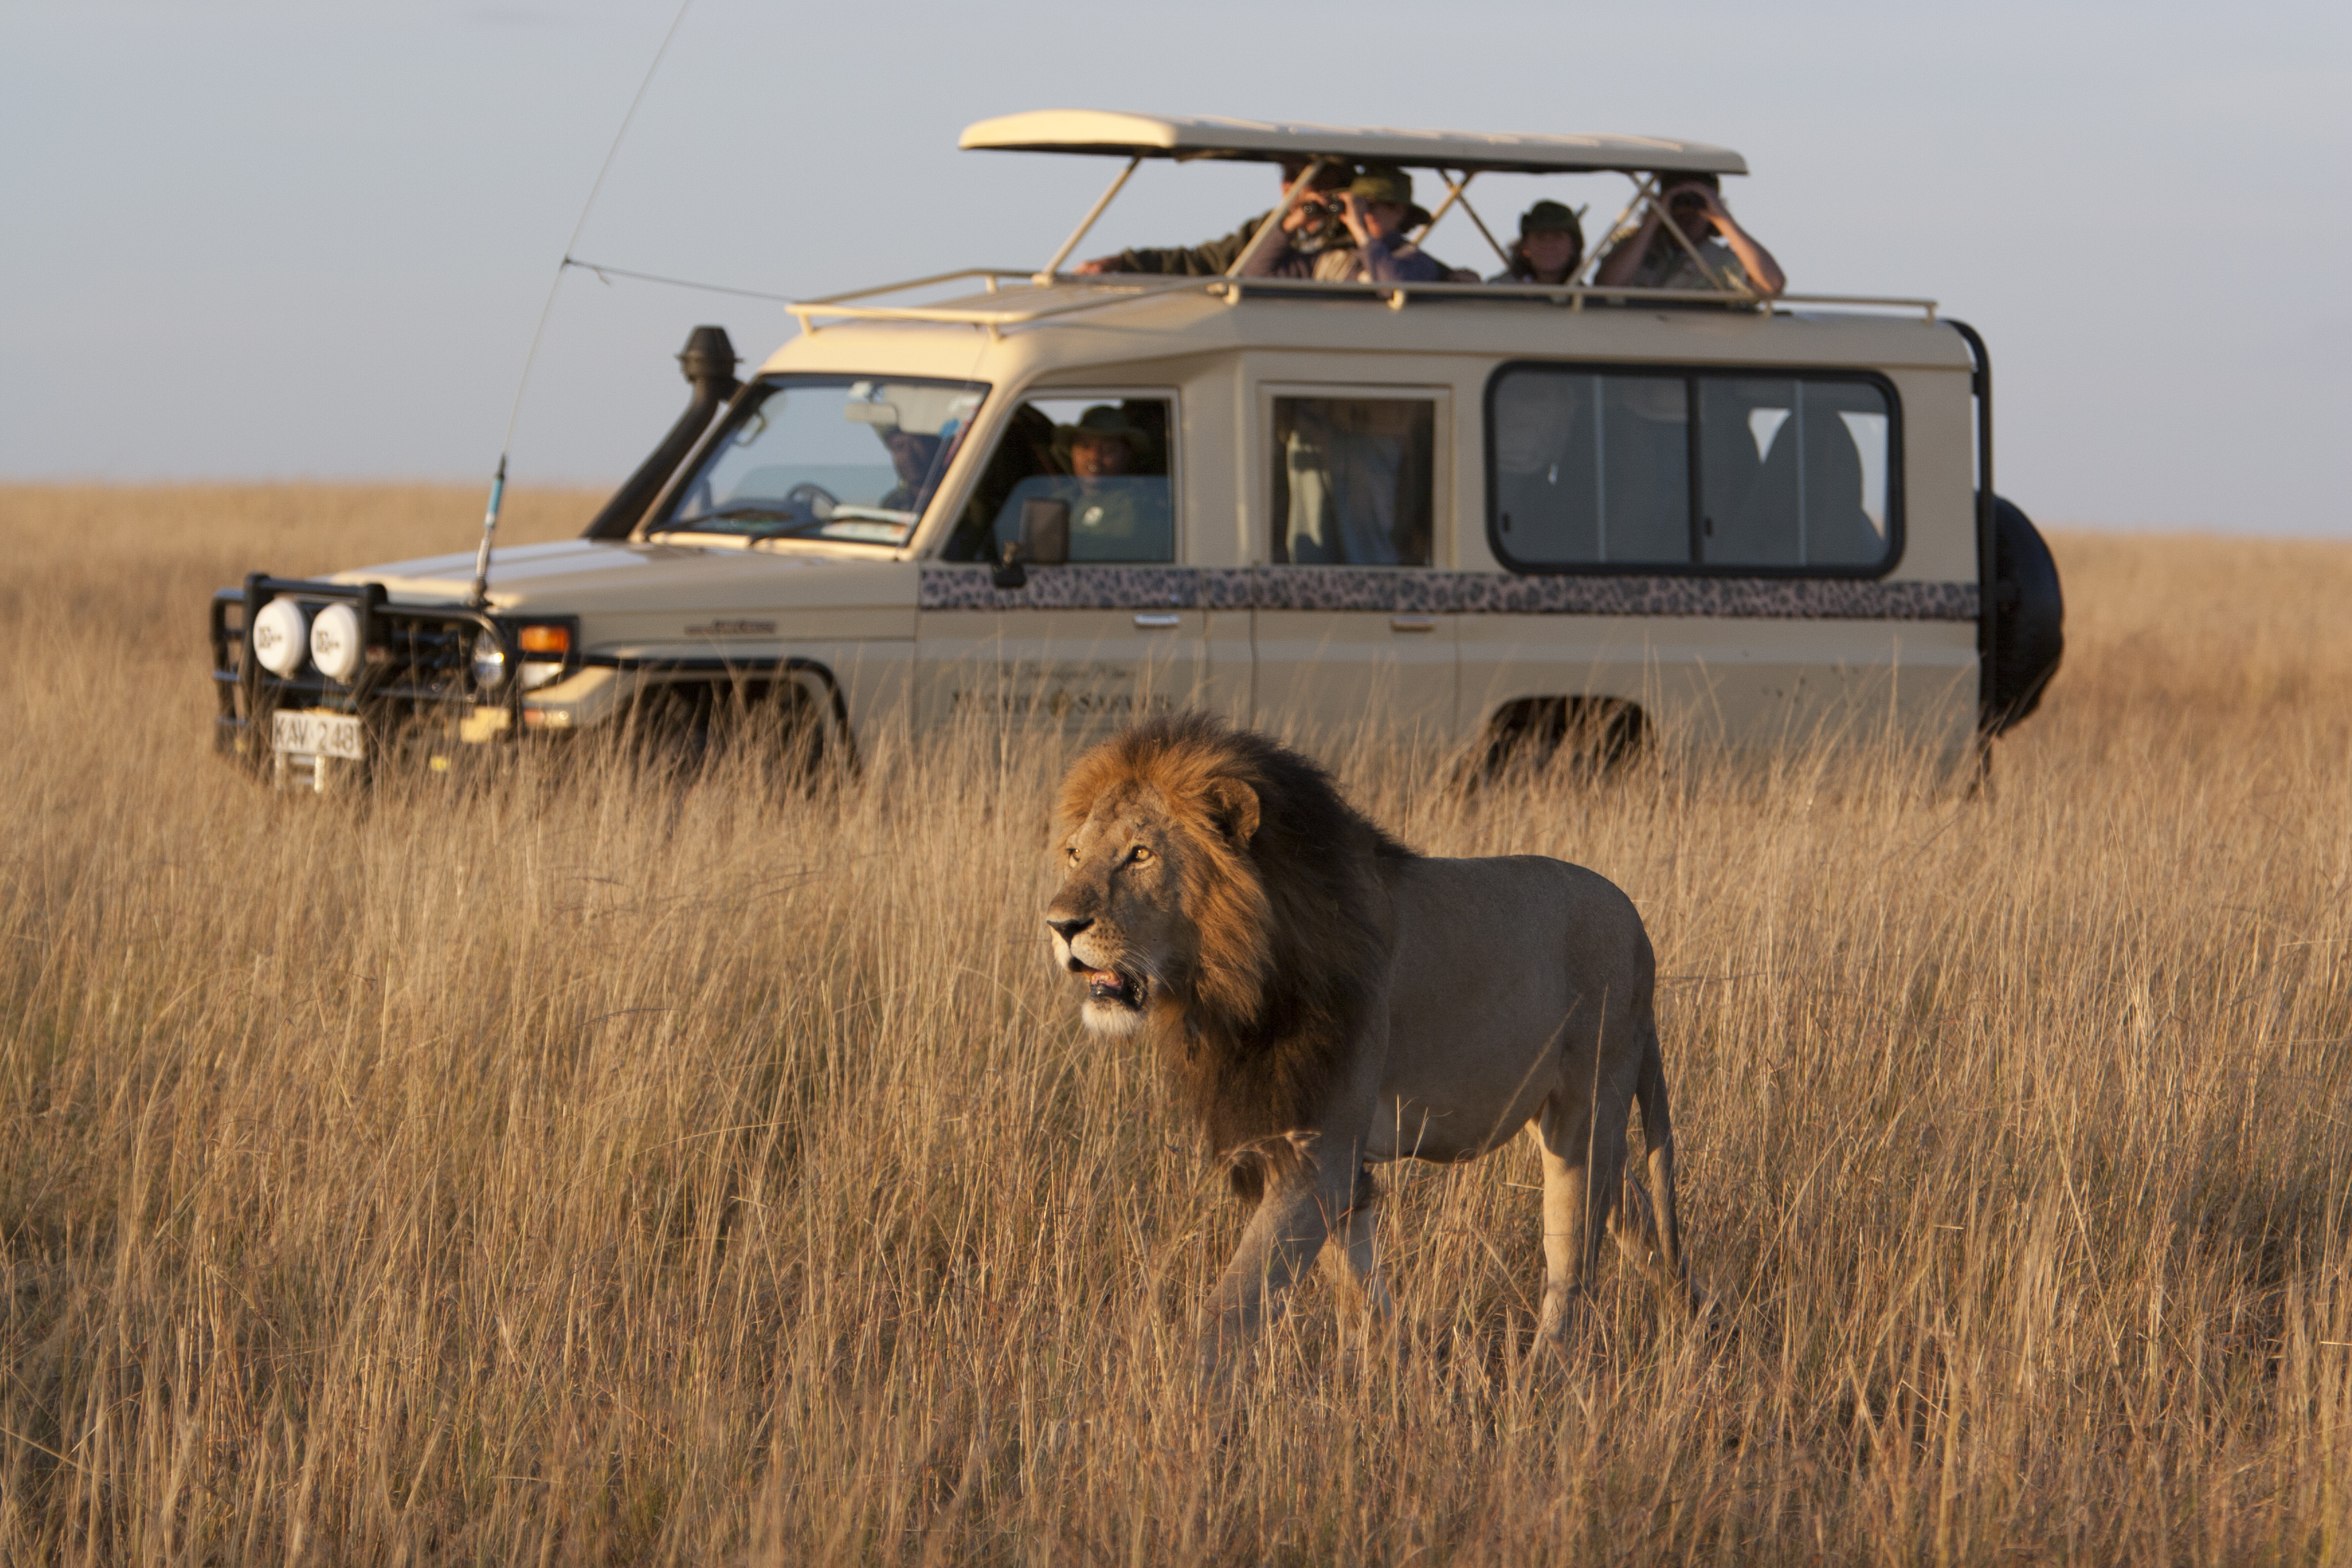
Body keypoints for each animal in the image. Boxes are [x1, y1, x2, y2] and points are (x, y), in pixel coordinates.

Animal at [1048, 709, 1693, 1363]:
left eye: (1140, 854)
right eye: (1075, 854)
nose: (1060, 925)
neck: (1239, 981)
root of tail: (1639, 929)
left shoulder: (1323, 1155)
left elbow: (1231, 1308)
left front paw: (1176, 1387)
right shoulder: (1312, 1150)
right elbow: (1359, 1289)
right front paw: (1394, 1365)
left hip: (1588, 1107)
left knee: (1575, 1259)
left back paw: (1546, 1370)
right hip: (1563, 1114)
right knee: (1636, 1209)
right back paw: (1692, 1314)